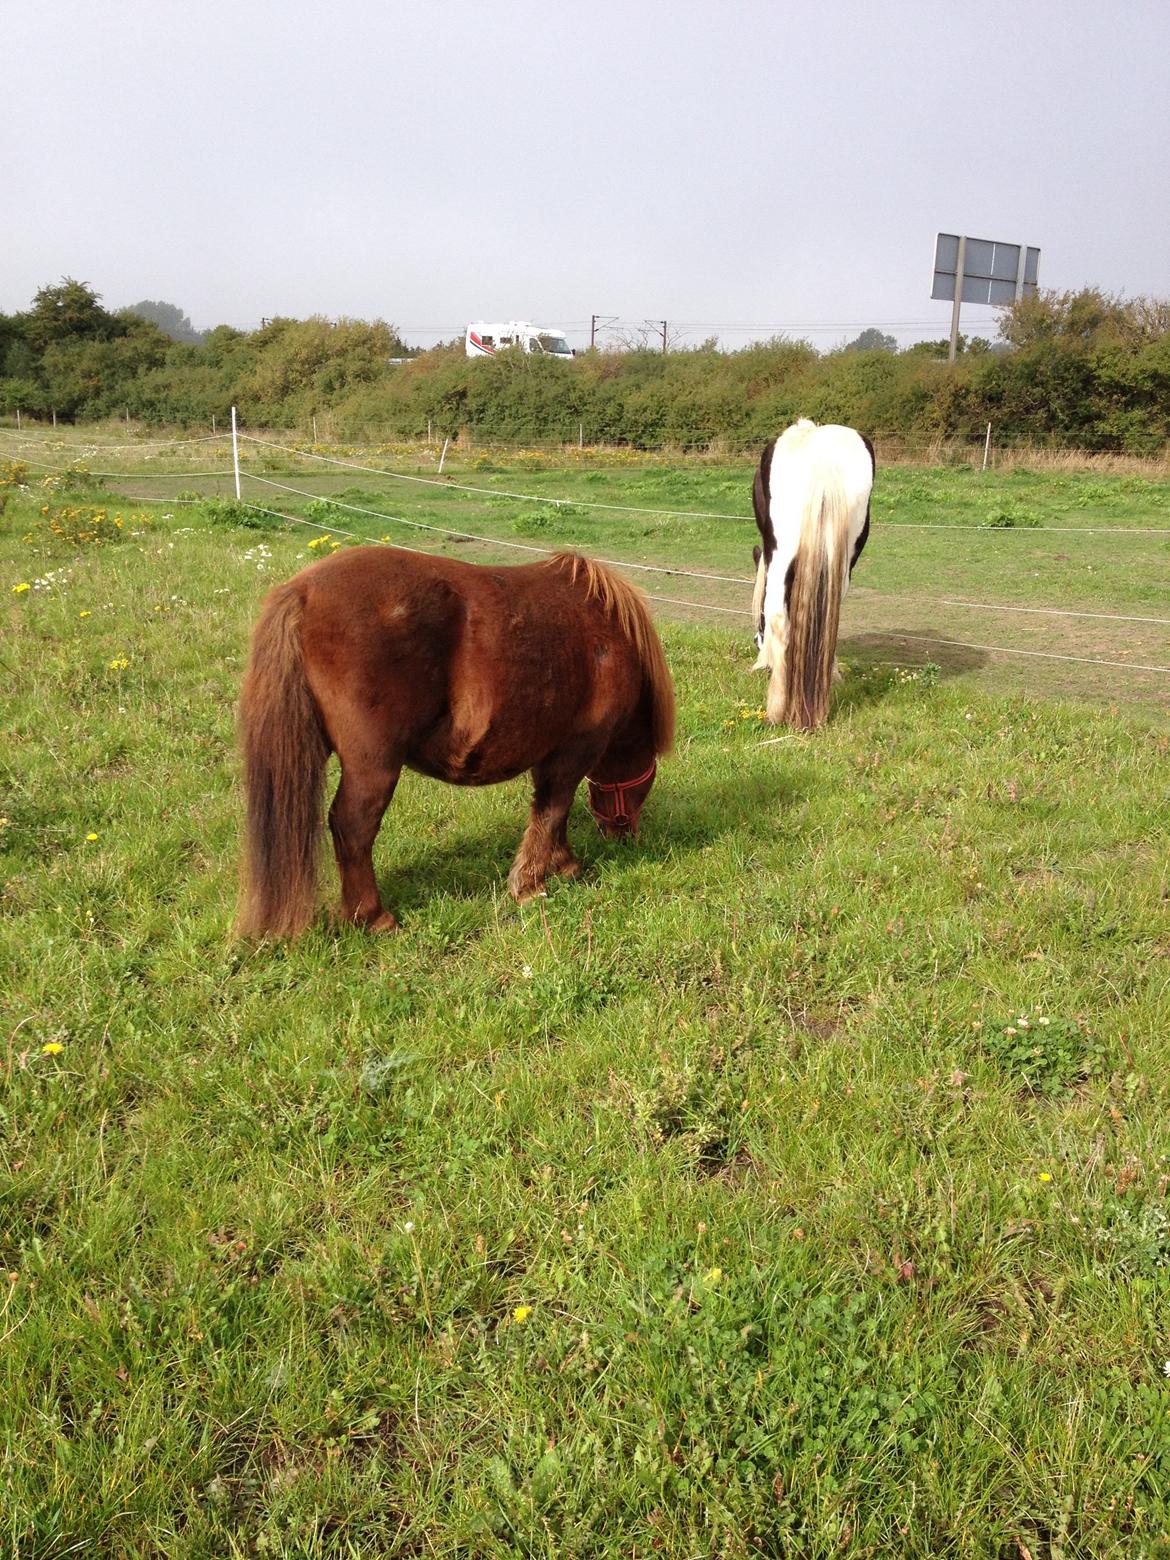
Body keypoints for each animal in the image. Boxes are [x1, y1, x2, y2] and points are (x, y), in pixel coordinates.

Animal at [235, 549, 677, 935]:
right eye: (645, 782)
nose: (625, 836)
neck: (609, 638)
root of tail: (302, 591)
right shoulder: (575, 749)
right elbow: (553, 810)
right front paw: (531, 884)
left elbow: (553, 813)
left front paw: (561, 864)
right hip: (373, 765)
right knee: (353, 827)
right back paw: (374, 917)